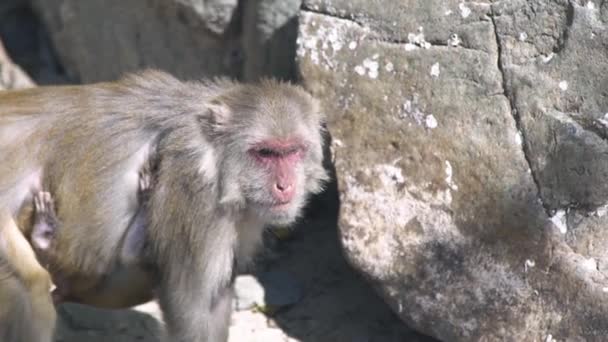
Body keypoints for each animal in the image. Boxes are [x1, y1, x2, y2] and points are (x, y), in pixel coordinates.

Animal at [0, 70, 328, 342]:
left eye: (294, 151)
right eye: (265, 153)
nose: (286, 186)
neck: (216, 159)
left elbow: (216, 300)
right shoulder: (194, 194)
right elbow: (192, 309)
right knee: (31, 286)